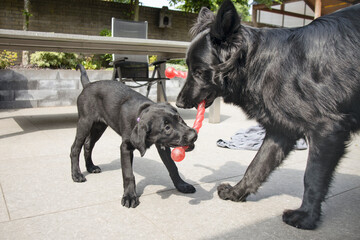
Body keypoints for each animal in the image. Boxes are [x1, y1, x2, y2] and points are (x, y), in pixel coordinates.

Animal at [70, 64, 197, 208]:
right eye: (167, 128)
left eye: (179, 118)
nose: (193, 135)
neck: (141, 112)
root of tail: (88, 84)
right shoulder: (125, 147)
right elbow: (128, 174)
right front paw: (129, 196)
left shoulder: (162, 145)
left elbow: (172, 166)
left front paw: (182, 185)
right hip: (85, 122)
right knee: (75, 148)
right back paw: (76, 174)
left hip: (99, 126)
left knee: (88, 145)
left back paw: (91, 167)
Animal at [177, 0, 360, 229]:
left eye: (200, 72)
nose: (178, 102)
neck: (258, 64)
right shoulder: (281, 131)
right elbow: (257, 165)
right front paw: (236, 192)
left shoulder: (327, 131)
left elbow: (312, 177)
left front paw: (306, 217)